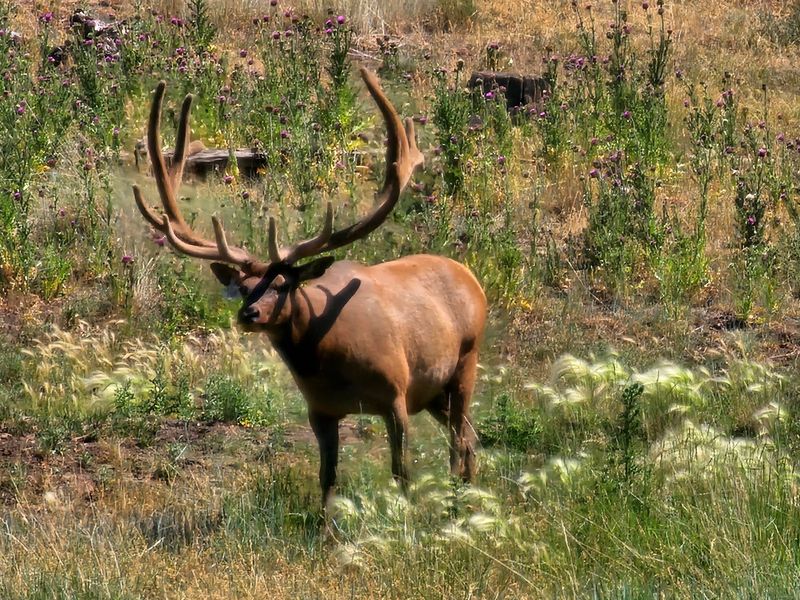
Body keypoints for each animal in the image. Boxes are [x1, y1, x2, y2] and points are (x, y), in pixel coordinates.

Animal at [131, 68, 487, 507]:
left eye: (284, 284)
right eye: (245, 286)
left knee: (460, 438)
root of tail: (470, 278)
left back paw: (460, 498)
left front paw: (406, 513)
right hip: (434, 391)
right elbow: (327, 478)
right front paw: (328, 521)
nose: (248, 314)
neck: (329, 360)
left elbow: (401, 472)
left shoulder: (396, 394)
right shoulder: (319, 409)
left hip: (464, 361)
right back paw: (466, 493)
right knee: (470, 437)